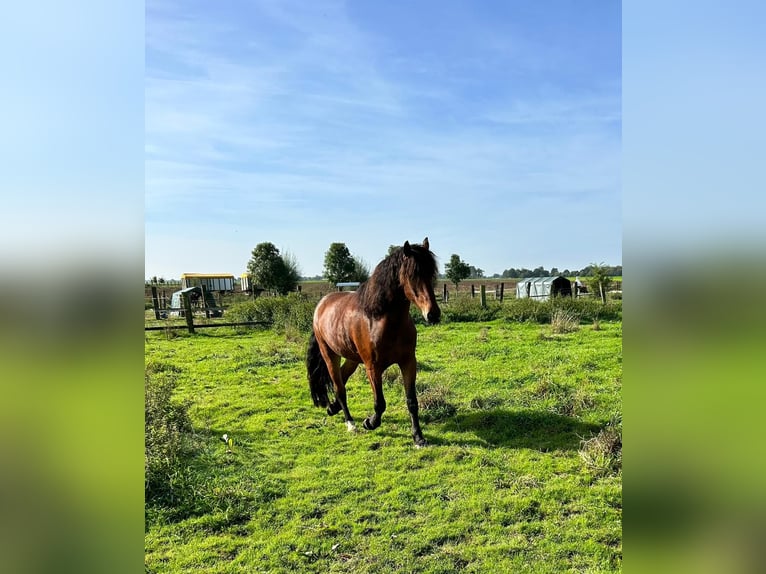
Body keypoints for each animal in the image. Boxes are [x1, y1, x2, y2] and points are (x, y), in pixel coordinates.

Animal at [304, 236, 440, 448]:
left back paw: (332, 408)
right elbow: (380, 403)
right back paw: (350, 423)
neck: (381, 319)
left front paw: (418, 437)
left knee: (342, 377)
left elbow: (412, 401)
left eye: (431, 273)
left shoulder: (408, 362)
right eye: (413, 275)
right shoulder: (373, 367)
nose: (433, 314)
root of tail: (321, 304)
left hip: (352, 358)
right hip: (329, 355)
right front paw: (369, 422)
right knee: (339, 387)